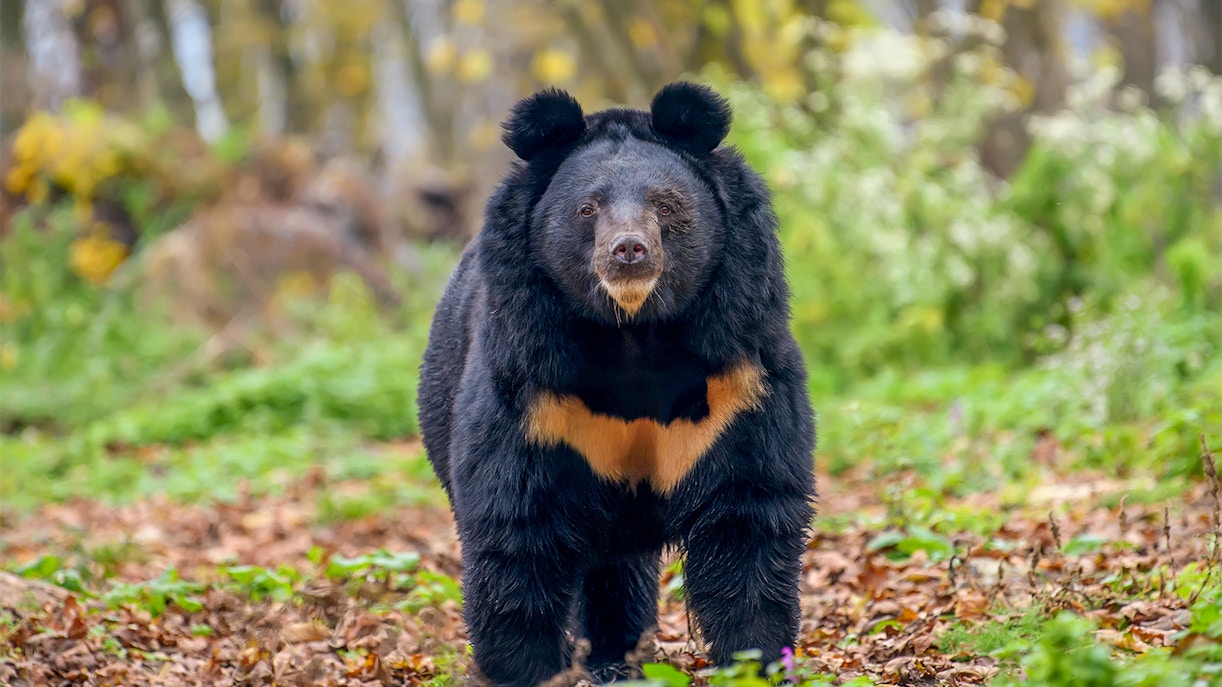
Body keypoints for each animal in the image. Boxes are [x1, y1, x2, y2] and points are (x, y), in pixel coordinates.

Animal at [418, 81, 816, 687]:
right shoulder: (532, 385)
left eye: (666, 205)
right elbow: (518, 521)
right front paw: (525, 669)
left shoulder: (739, 374)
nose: (629, 250)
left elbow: (747, 509)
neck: (634, 334)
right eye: (588, 208)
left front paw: (757, 659)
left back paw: (619, 657)